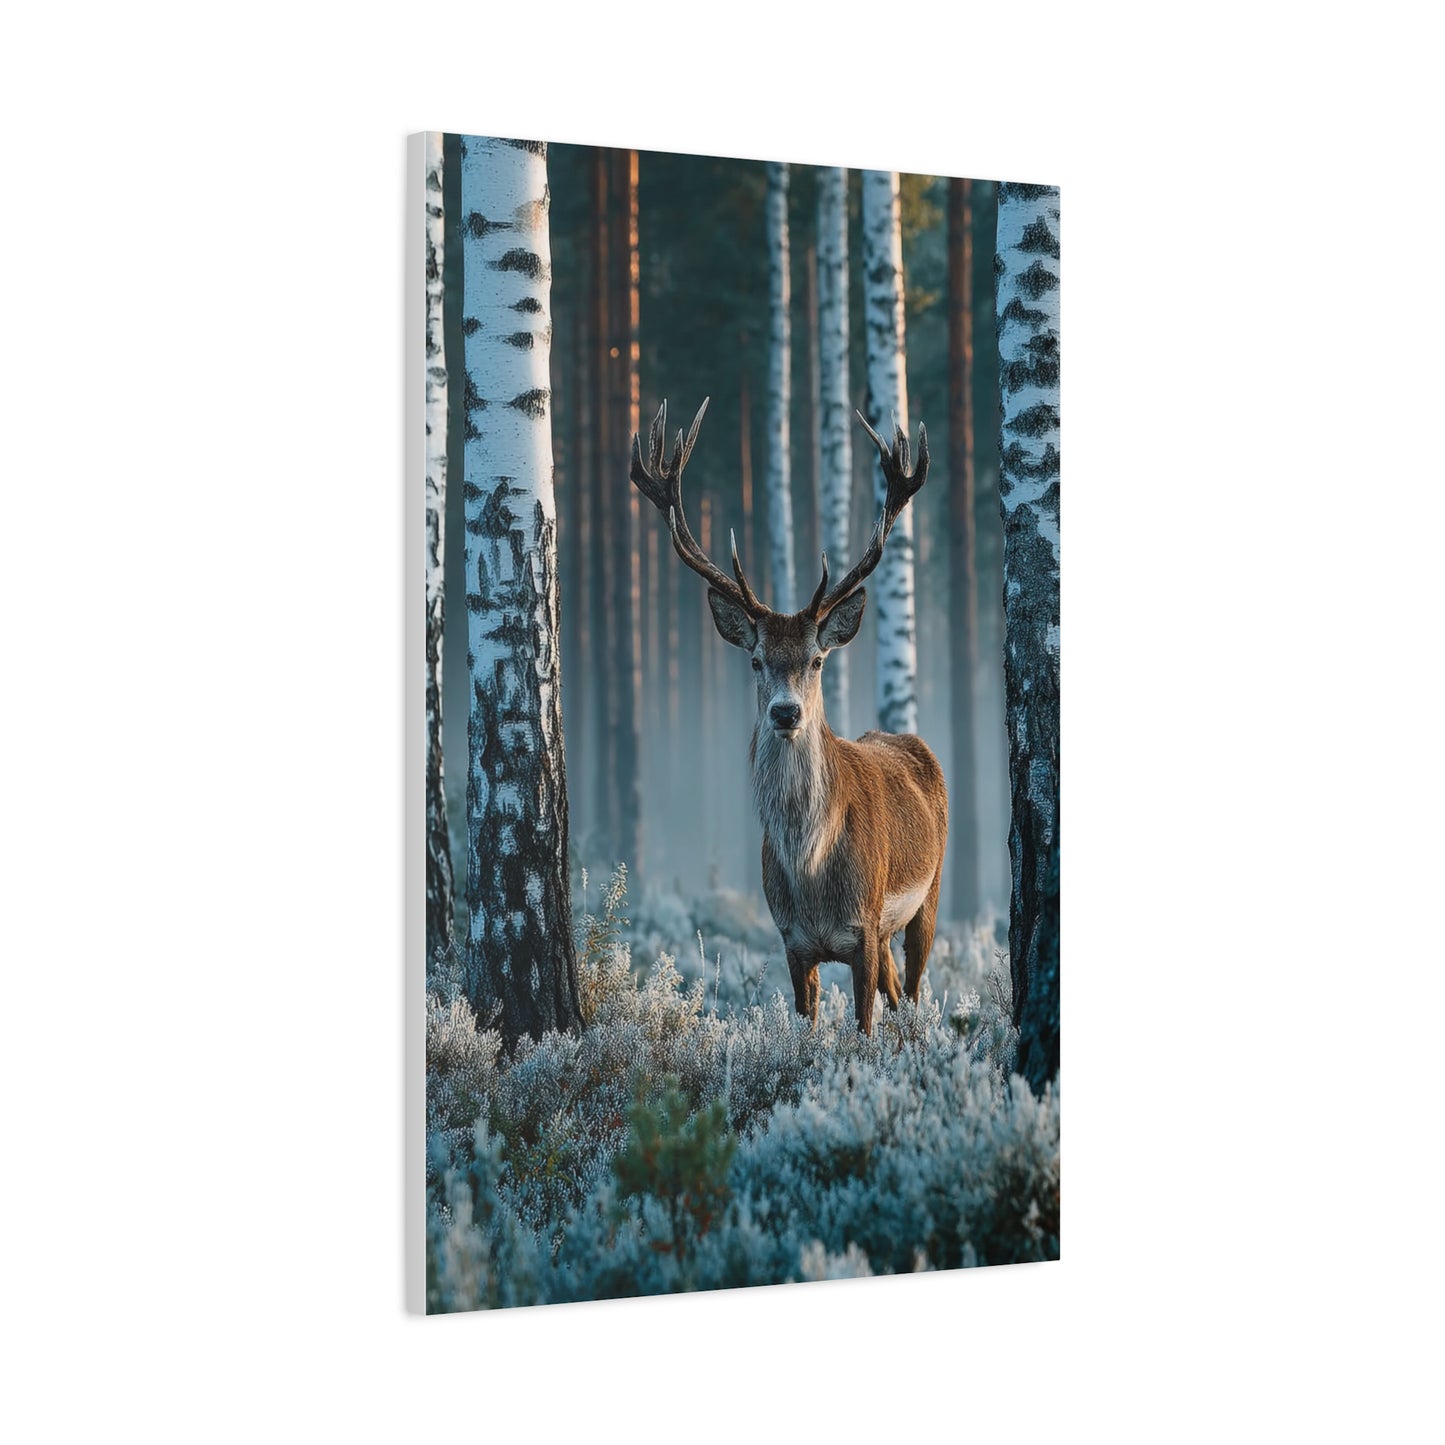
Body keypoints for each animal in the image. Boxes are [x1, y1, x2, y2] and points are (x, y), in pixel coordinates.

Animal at [631, 397, 947, 1035]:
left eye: (817, 659)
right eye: (756, 659)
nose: (785, 711)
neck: (811, 873)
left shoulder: (864, 928)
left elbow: (865, 1028)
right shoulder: (792, 940)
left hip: (927, 895)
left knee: (913, 991)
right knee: (900, 992)